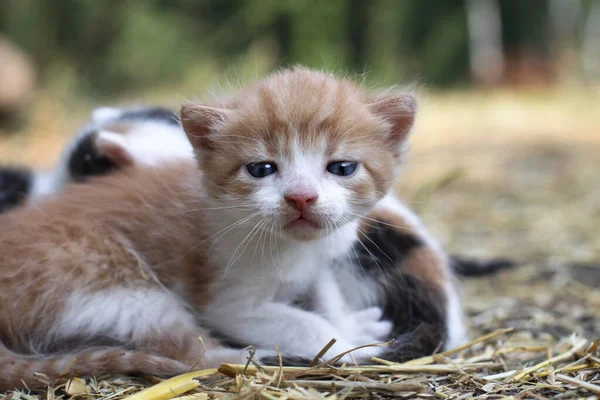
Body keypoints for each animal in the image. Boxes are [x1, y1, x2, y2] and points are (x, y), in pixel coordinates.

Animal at [0, 67, 418, 390]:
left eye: (342, 168)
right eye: (261, 169)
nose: (301, 197)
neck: (294, 245)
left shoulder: (321, 259)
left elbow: (326, 297)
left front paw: (351, 326)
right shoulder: (228, 303)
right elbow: (305, 322)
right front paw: (352, 347)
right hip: (119, 291)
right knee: (191, 352)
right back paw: (254, 357)